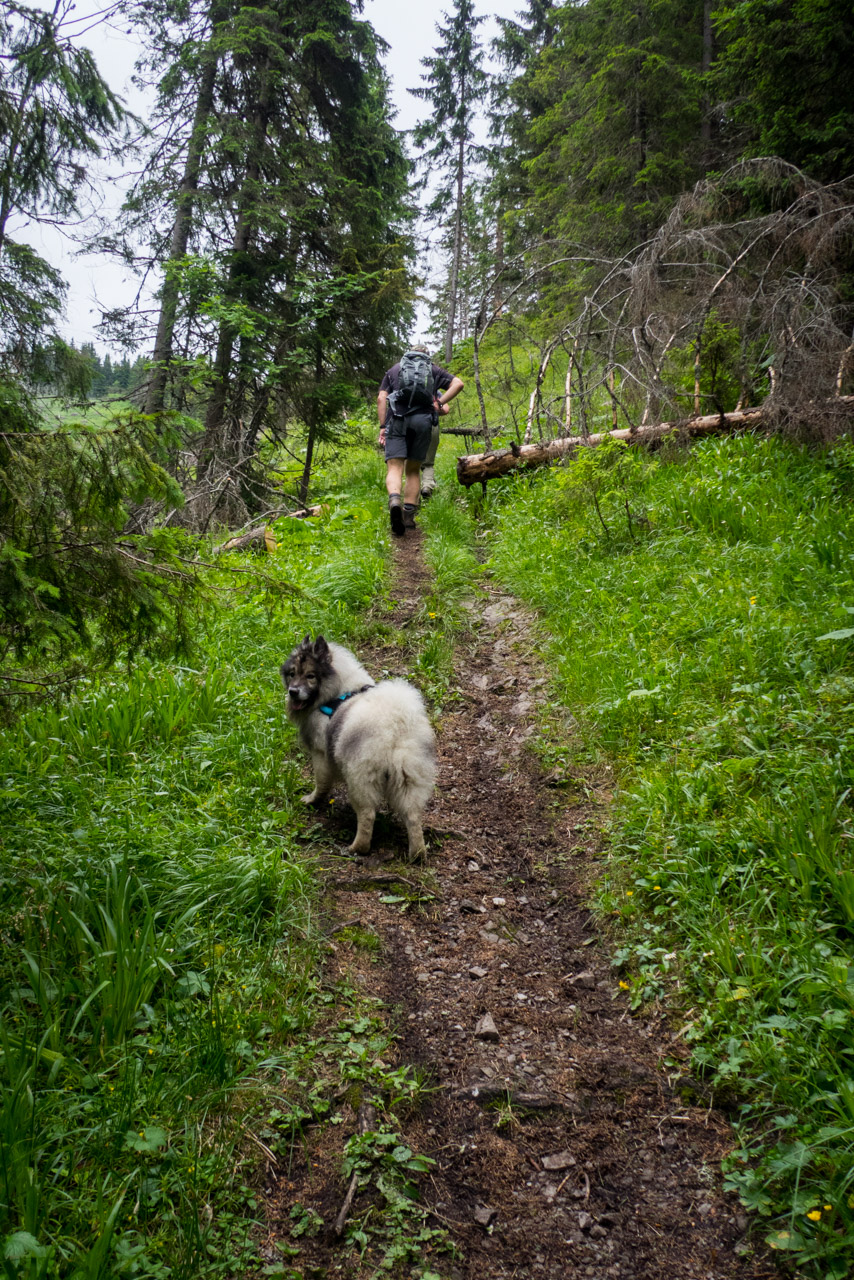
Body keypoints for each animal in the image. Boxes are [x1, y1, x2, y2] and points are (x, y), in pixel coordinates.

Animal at [281, 637, 437, 860]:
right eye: (292, 673)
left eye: (310, 676)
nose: (292, 691)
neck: (335, 692)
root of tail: (395, 729)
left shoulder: (320, 755)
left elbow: (321, 783)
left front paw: (312, 800)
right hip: (409, 778)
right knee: (413, 816)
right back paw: (417, 853)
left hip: (359, 779)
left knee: (367, 815)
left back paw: (356, 848)